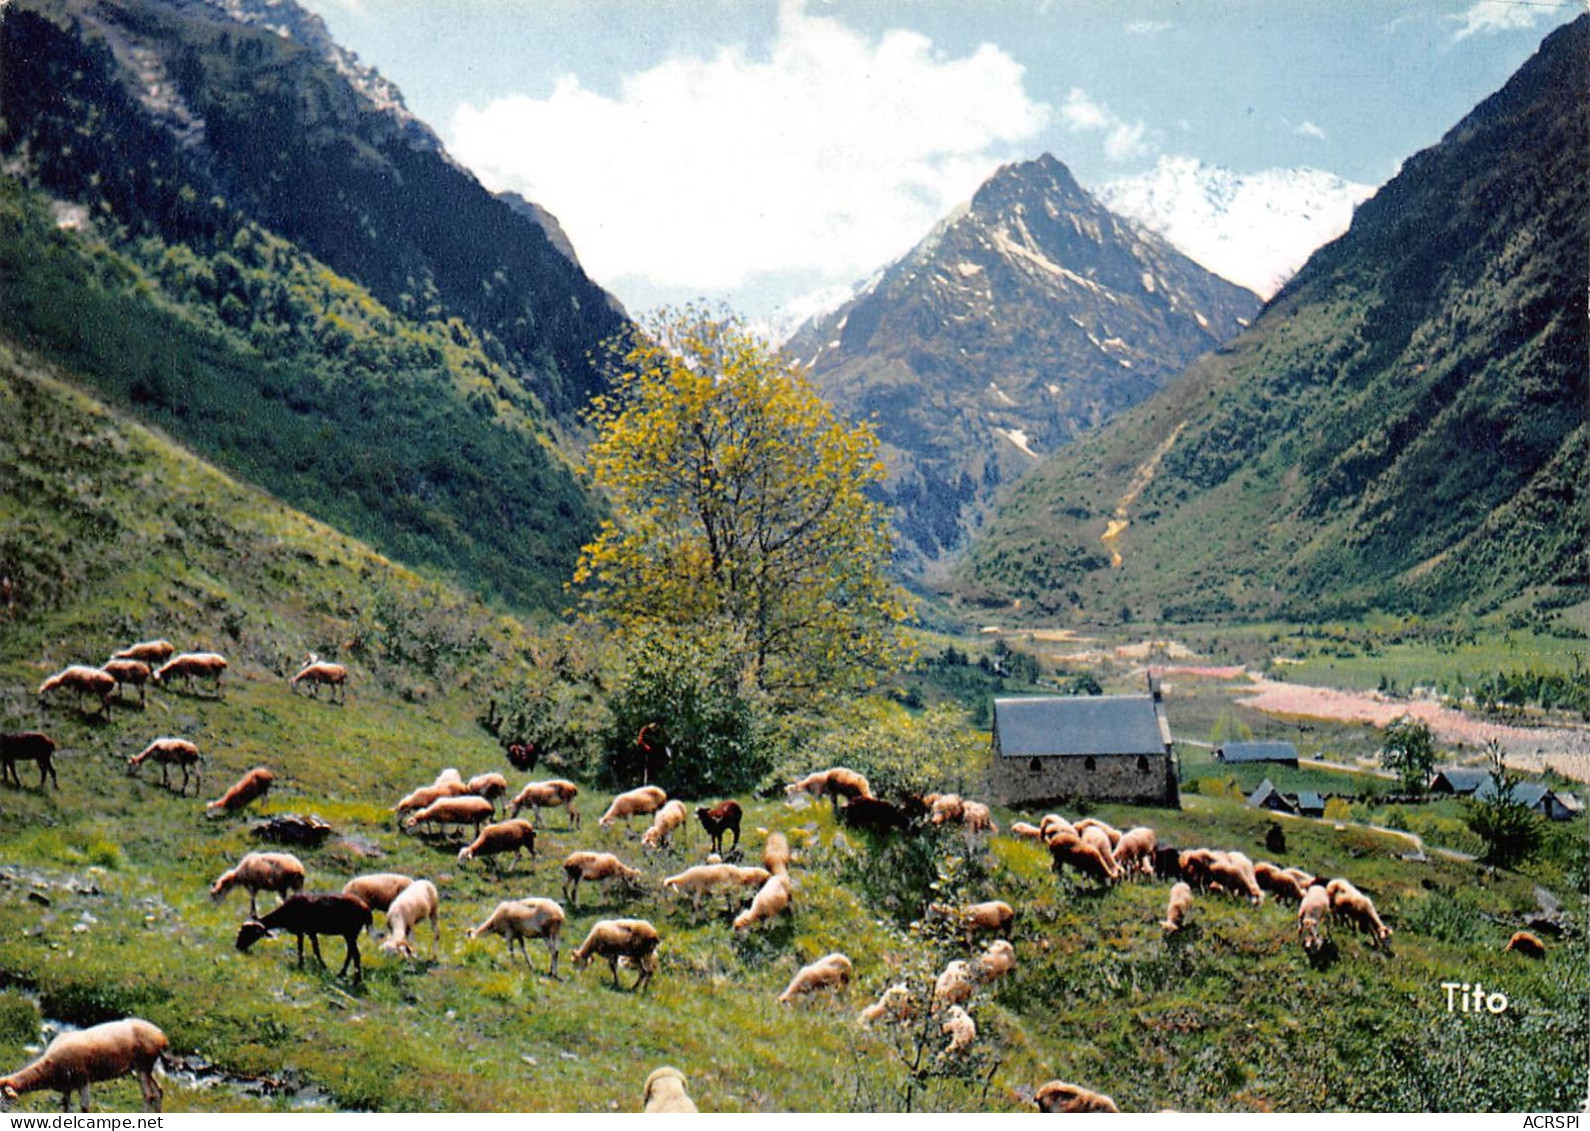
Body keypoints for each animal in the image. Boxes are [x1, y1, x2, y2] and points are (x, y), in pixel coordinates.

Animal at [0, 1018, 166, 1113]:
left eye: (3, 1098)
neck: (47, 1069)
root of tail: (161, 1035)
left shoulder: (83, 1079)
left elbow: (85, 1108)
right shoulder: (67, 1086)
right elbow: (65, 1107)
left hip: (142, 1065)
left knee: (149, 1095)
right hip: (147, 1067)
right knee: (158, 1091)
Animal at [233, 897, 370, 979]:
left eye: (248, 933)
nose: (238, 947)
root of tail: (366, 909)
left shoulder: (306, 931)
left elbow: (311, 950)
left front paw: (319, 966)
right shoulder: (306, 932)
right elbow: (306, 948)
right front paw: (305, 965)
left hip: (350, 933)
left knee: (356, 954)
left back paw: (355, 980)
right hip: (350, 934)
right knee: (351, 953)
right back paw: (342, 974)